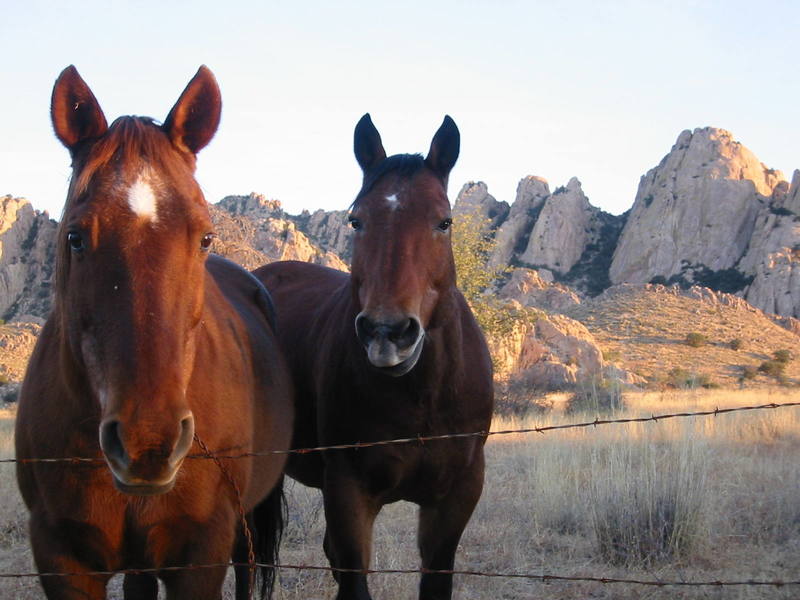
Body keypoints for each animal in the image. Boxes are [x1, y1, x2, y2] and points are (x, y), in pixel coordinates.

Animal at [256, 115, 494, 596]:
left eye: (444, 222)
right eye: (355, 220)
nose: (388, 333)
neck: (423, 398)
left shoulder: (456, 498)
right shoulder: (348, 492)